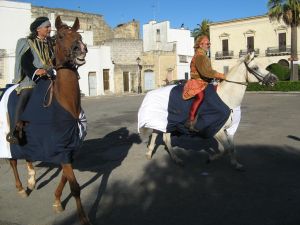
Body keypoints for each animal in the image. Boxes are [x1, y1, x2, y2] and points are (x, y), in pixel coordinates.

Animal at [7, 16, 90, 225]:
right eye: (60, 36)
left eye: (79, 35)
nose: (81, 49)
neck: (64, 101)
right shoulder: (60, 145)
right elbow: (74, 185)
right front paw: (83, 218)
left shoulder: (68, 146)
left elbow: (65, 176)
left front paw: (57, 201)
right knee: (12, 160)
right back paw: (21, 188)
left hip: (27, 135)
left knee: (27, 154)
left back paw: (31, 178)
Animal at [137, 51, 278, 170]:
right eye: (255, 68)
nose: (274, 79)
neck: (226, 98)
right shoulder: (217, 130)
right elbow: (226, 149)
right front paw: (211, 158)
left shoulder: (228, 130)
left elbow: (232, 148)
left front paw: (236, 164)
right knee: (162, 136)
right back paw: (168, 157)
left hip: (166, 122)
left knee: (159, 135)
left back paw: (160, 155)